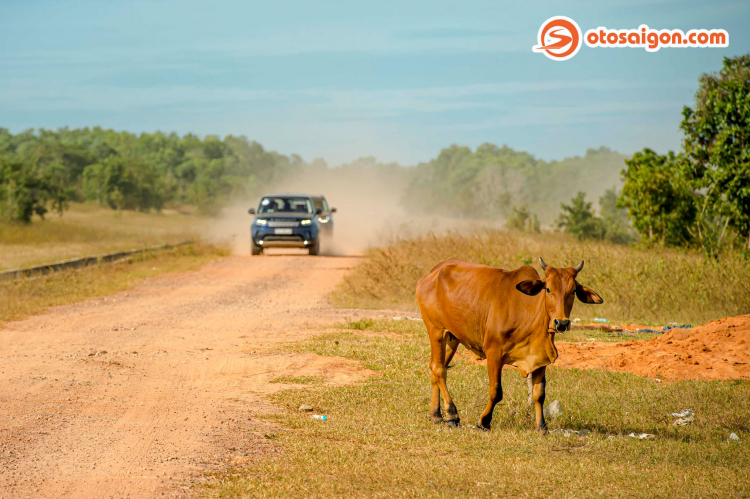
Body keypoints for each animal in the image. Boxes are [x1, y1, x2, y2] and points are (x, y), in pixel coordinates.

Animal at [418, 258, 604, 434]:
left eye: (573, 291)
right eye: (548, 289)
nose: (561, 323)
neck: (527, 311)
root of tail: (431, 273)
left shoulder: (540, 359)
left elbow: (539, 394)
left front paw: (541, 427)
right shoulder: (493, 353)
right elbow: (496, 391)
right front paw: (484, 422)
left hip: (452, 338)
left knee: (435, 368)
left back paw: (436, 415)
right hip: (436, 330)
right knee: (439, 369)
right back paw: (452, 414)